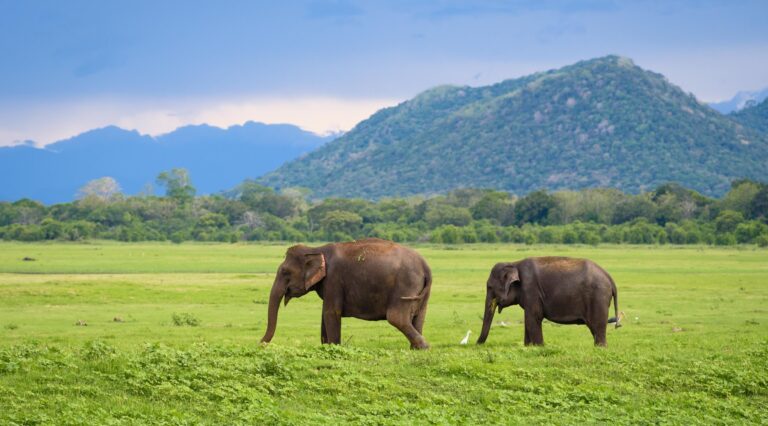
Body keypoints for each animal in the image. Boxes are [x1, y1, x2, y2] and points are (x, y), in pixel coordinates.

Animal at [260, 238, 432, 349]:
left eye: (285, 272)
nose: (260, 345)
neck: (316, 249)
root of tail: (425, 265)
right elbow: (324, 314)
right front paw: (325, 347)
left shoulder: (334, 279)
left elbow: (331, 313)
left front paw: (334, 348)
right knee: (419, 317)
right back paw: (415, 349)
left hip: (405, 285)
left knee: (397, 318)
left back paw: (424, 347)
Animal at [476, 257, 621, 347]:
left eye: (490, 287)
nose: (476, 344)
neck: (514, 263)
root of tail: (610, 278)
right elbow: (528, 320)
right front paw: (528, 347)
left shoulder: (531, 290)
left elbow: (533, 317)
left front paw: (538, 347)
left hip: (598, 298)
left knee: (597, 327)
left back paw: (600, 348)